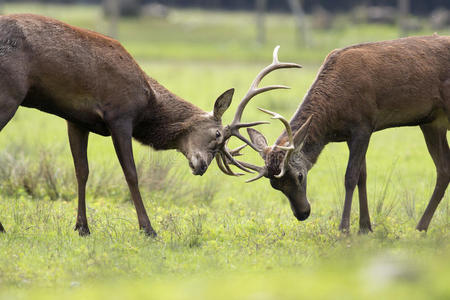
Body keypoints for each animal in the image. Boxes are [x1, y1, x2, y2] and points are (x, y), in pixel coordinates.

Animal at [0, 13, 300, 237]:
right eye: (217, 134)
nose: (201, 166)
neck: (147, 105)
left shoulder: (76, 119)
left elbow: (81, 171)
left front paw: (82, 228)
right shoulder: (119, 115)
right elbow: (131, 174)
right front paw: (148, 229)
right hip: (9, 93)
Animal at [220, 34, 450, 232]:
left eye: (300, 176)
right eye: (275, 186)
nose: (302, 213)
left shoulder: (363, 125)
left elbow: (350, 176)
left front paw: (345, 229)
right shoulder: (350, 134)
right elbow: (362, 176)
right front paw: (365, 228)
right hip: (432, 122)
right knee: (443, 169)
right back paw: (421, 228)